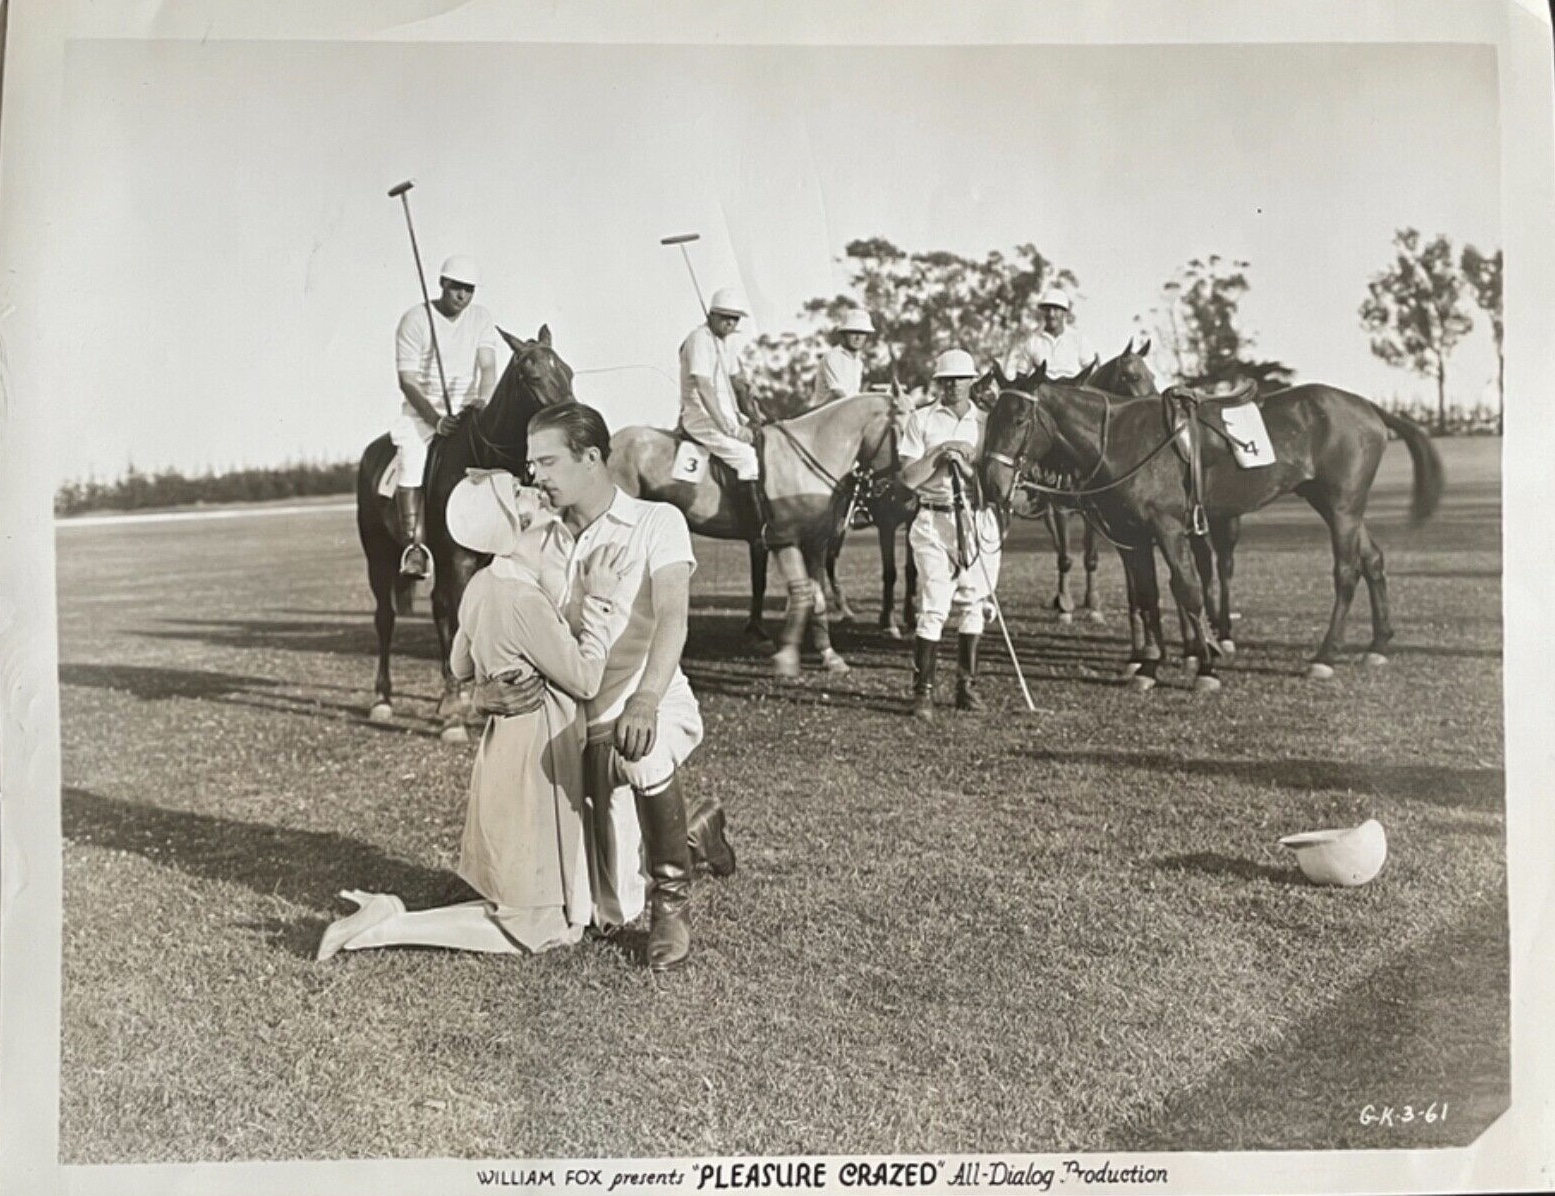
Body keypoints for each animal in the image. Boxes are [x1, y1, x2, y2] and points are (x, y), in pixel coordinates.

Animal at [356, 326, 575, 737]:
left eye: (568, 372)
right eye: (533, 375)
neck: (485, 464)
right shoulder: (457, 558)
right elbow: (460, 618)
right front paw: (458, 717)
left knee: (438, 608)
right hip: (378, 553)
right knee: (386, 617)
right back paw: (384, 700)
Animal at [603, 388, 901, 671]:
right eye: (904, 431)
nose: (896, 491)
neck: (809, 456)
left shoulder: (814, 542)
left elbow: (815, 596)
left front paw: (829, 655)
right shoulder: (784, 539)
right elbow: (801, 592)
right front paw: (785, 655)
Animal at [982, 360, 1443, 690]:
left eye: (1020, 419)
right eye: (991, 418)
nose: (992, 482)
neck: (1119, 440)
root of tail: (1369, 407)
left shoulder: (1168, 530)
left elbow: (1186, 590)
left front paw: (1204, 667)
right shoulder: (1133, 537)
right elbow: (1148, 596)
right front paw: (1148, 666)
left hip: (1343, 506)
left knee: (1347, 572)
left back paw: (1324, 657)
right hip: (1335, 504)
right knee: (1374, 560)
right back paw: (1378, 644)